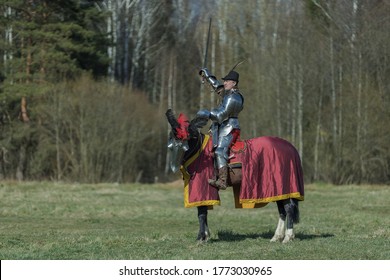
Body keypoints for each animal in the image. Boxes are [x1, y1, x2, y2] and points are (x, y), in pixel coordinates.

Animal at [165, 109, 304, 243]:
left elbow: (201, 213)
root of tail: (291, 148)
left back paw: (287, 237)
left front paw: (201, 238)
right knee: (282, 210)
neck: (200, 152)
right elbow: (203, 212)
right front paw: (206, 236)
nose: (173, 164)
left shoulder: (203, 189)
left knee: (288, 208)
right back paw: (276, 236)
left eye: (184, 136)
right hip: (278, 189)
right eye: (172, 136)